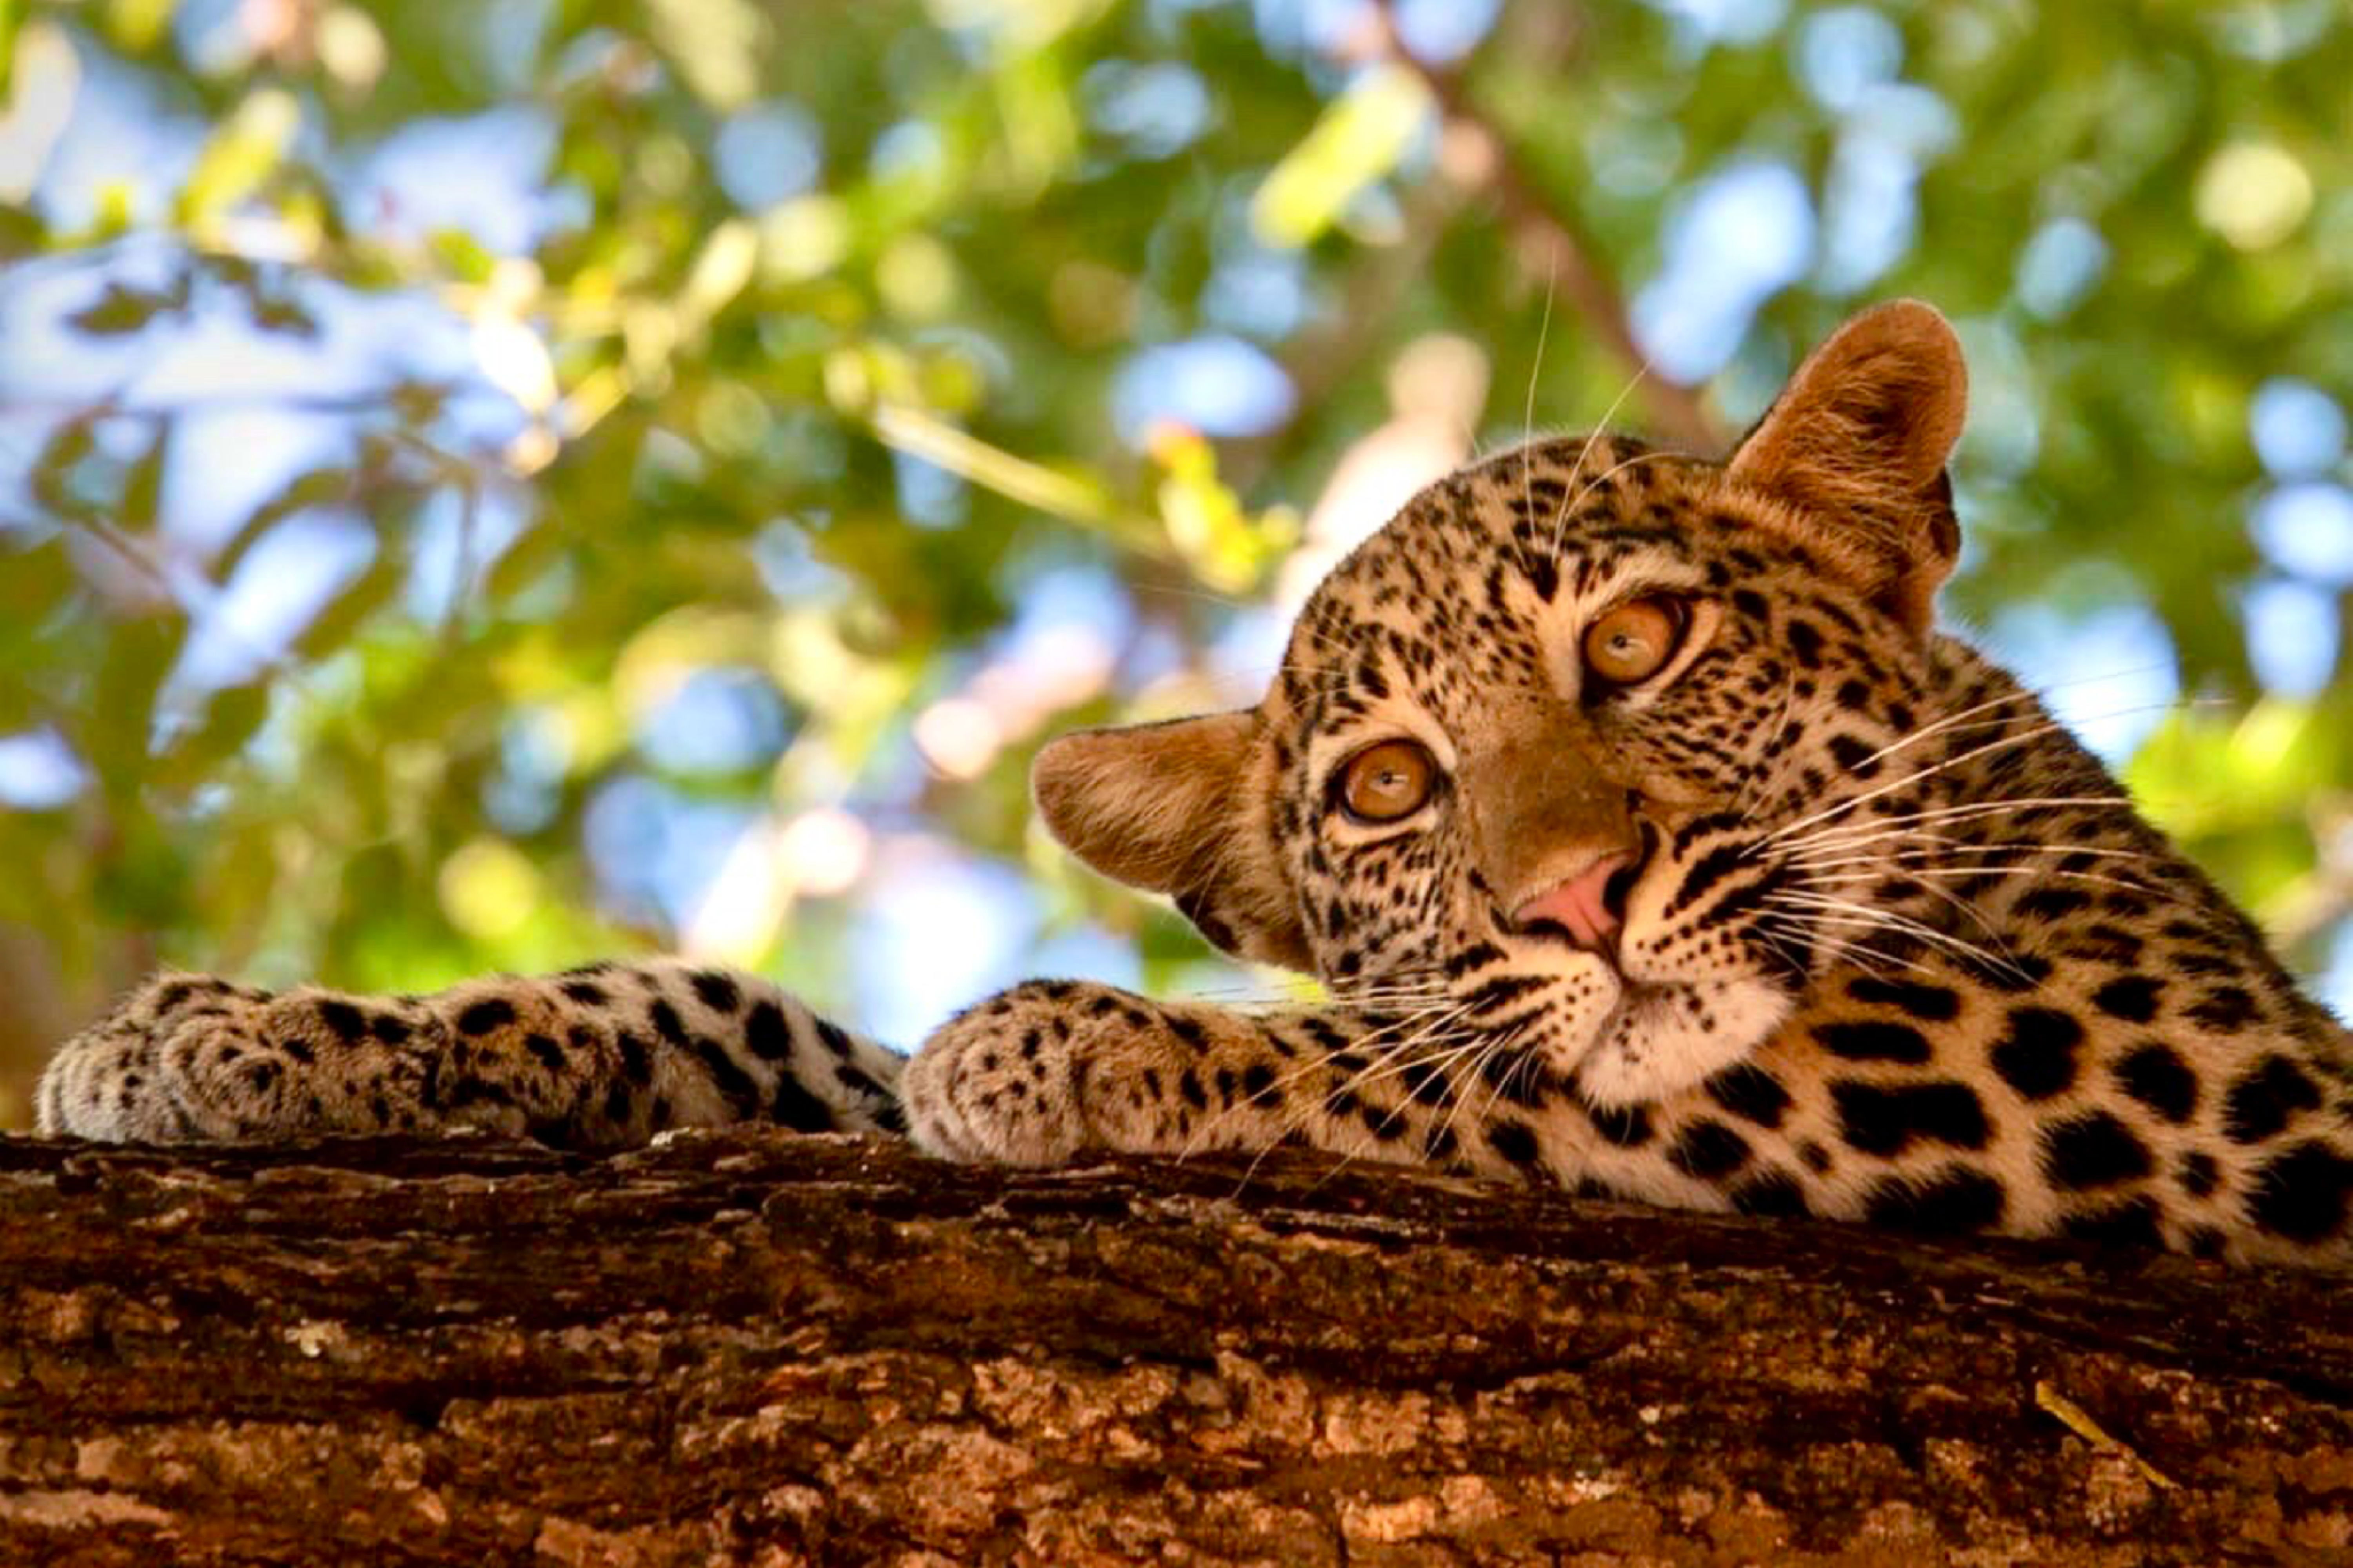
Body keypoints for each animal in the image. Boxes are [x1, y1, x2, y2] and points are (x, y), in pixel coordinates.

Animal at [36, 301, 2353, 1267]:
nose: (1577, 897)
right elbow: (751, 1017)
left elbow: (1495, 1057)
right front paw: (241, 1034)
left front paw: (1080, 1039)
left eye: (1631, 645)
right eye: (1395, 784)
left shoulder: (2215, 1061)